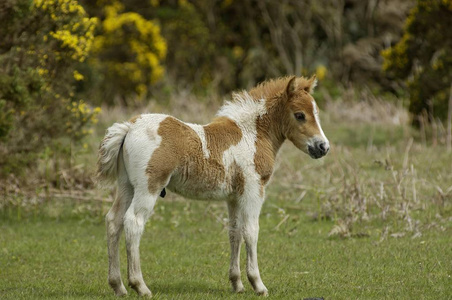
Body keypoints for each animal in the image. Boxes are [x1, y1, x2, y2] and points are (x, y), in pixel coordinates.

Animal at [98, 76, 328, 296]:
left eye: (316, 113)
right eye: (300, 115)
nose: (323, 147)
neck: (252, 135)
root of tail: (130, 126)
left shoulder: (234, 197)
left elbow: (235, 231)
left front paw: (237, 284)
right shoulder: (253, 191)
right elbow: (251, 232)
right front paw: (258, 285)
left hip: (127, 186)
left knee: (113, 221)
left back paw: (118, 286)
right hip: (148, 187)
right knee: (133, 222)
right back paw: (140, 286)